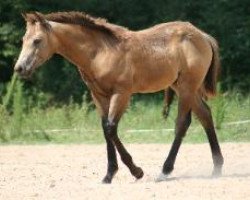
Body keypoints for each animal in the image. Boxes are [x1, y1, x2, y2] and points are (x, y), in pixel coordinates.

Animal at [14, 10, 225, 183]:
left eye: (37, 40)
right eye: (24, 39)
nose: (20, 68)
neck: (99, 52)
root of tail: (202, 36)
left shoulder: (121, 93)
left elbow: (111, 127)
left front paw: (136, 171)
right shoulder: (99, 96)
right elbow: (105, 129)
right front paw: (109, 175)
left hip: (187, 87)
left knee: (182, 124)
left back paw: (165, 171)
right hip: (184, 88)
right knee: (205, 115)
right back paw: (217, 168)